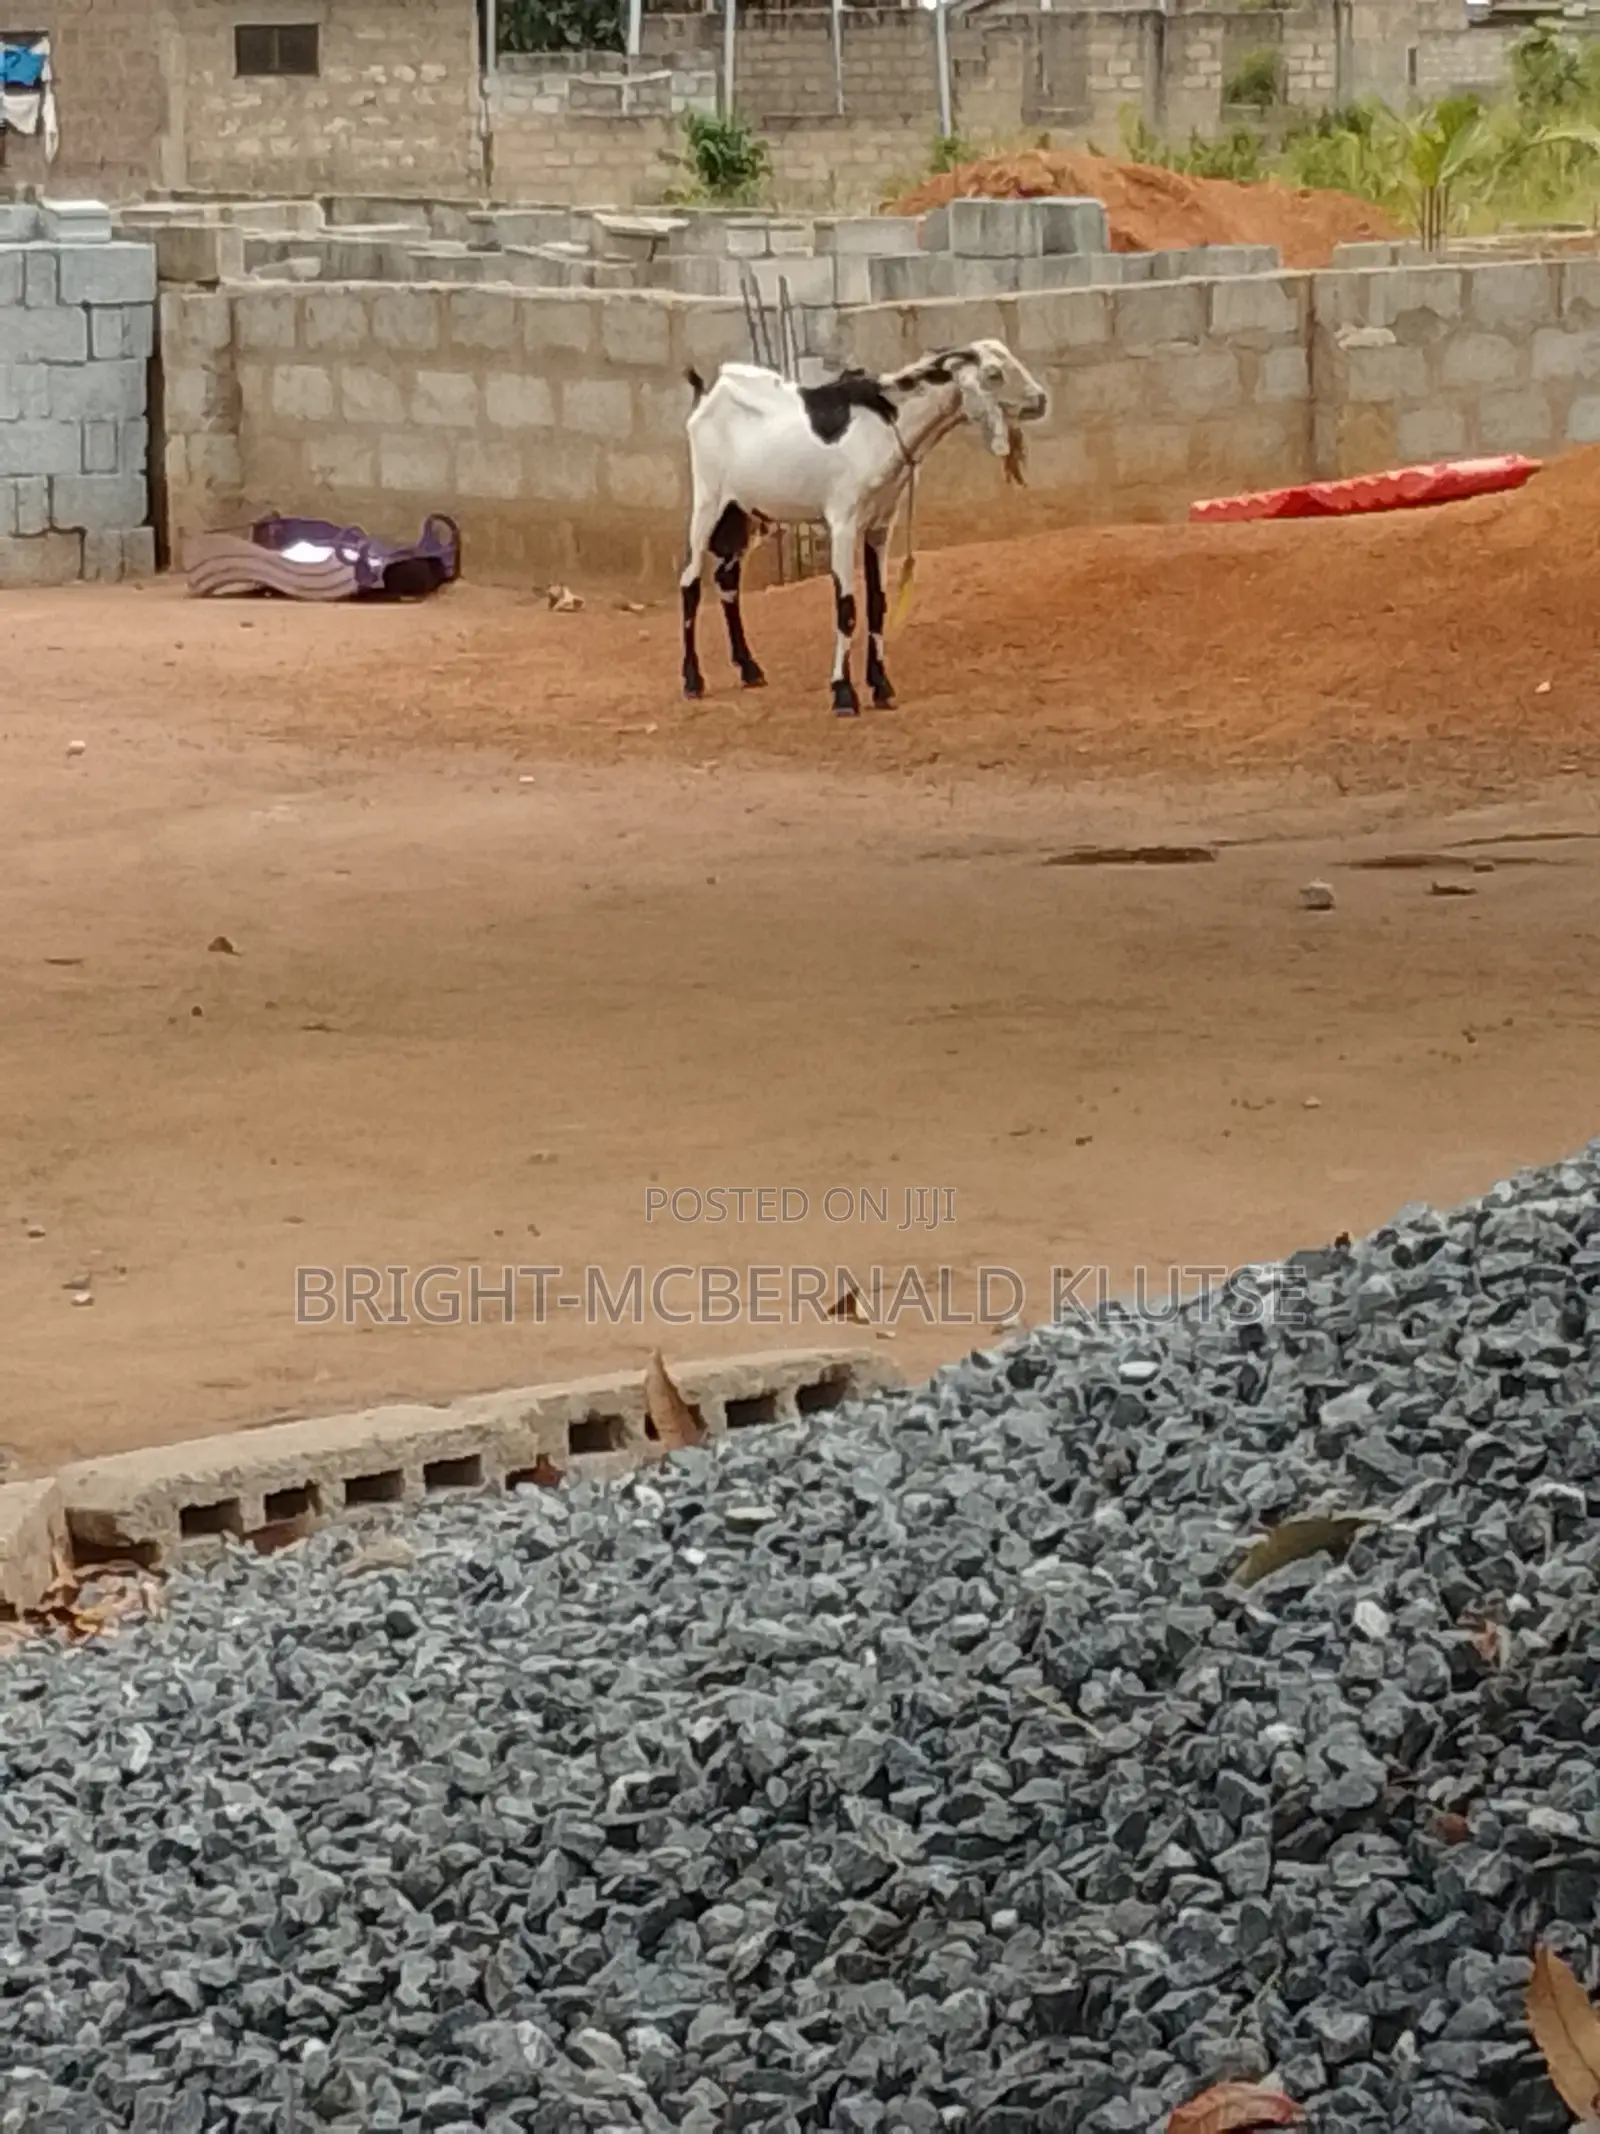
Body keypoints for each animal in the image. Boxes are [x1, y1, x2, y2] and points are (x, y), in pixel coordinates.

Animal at [678, 338, 1049, 716]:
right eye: (994, 373)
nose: (1040, 400)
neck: (885, 426)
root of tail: (707, 394)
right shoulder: (842, 524)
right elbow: (847, 607)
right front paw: (843, 693)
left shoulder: (880, 525)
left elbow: (877, 603)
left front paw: (881, 686)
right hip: (709, 502)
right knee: (690, 583)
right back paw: (693, 681)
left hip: (744, 513)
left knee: (727, 581)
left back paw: (749, 668)